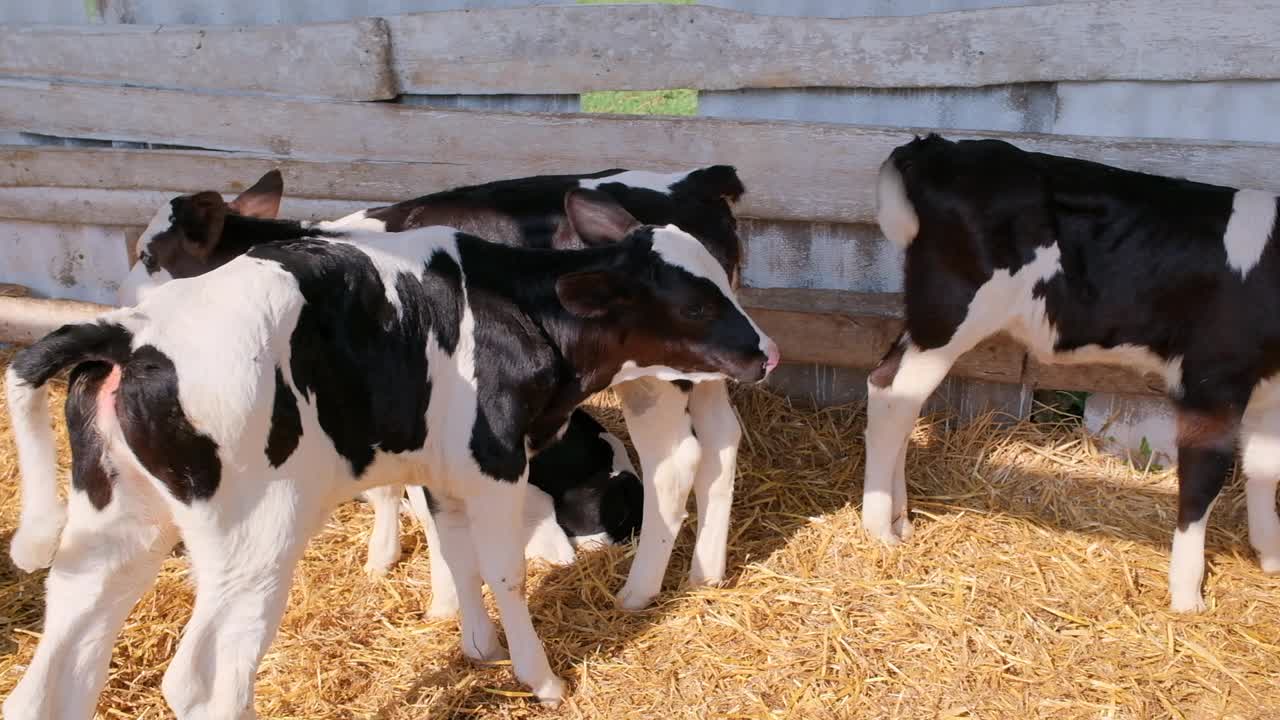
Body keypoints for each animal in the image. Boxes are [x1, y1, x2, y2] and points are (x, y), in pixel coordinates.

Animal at [120, 165, 747, 607]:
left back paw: (638, 591)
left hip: (657, 377)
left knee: (674, 462)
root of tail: (696, 180)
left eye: (150, 255)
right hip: (708, 372)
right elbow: (386, 490)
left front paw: (444, 600)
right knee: (722, 441)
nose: (125, 305)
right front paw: (382, 558)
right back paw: (705, 573)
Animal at [865, 131, 1274, 607]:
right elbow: (1205, 475)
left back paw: (900, 518)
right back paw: (879, 528)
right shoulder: (1212, 379)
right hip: (950, 315)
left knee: (893, 392)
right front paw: (1188, 598)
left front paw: (1271, 558)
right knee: (894, 396)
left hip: (929, 321)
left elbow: (1266, 467)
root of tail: (937, 147)